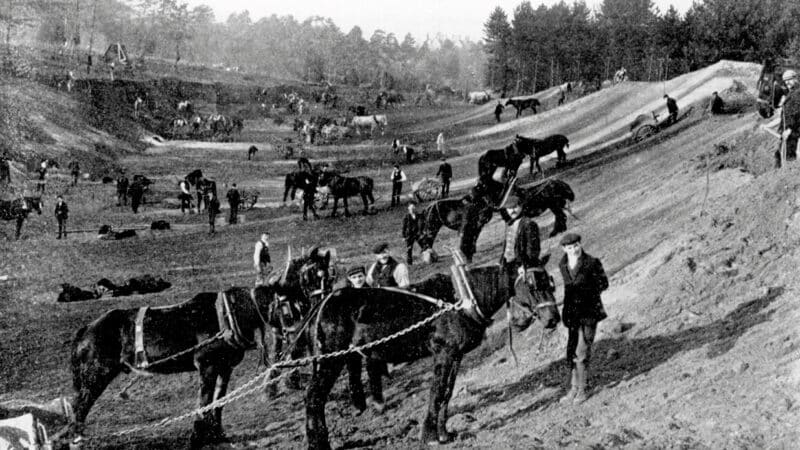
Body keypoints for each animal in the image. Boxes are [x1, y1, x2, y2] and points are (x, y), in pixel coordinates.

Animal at [69, 248, 332, 448]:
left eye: (329, 276)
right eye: (311, 274)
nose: (324, 301)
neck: (232, 314)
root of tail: (87, 329)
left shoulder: (225, 368)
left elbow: (219, 401)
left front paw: (217, 434)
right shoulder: (207, 366)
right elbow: (204, 401)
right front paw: (197, 437)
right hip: (95, 377)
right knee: (78, 409)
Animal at [304, 258, 560, 448]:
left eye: (550, 282)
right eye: (532, 285)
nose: (553, 319)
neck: (461, 299)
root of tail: (321, 305)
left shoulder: (456, 355)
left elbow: (447, 393)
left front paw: (444, 433)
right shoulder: (443, 354)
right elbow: (437, 392)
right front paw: (429, 437)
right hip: (330, 362)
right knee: (314, 399)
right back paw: (319, 444)